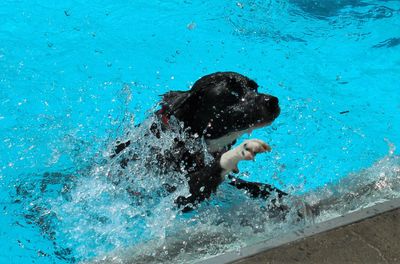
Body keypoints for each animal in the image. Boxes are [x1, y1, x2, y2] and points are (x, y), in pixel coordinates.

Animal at [112, 71, 286, 212]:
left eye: (255, 88)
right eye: (232, 94)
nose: (273, 101)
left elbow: (257, 186)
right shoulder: (177, 195)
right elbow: (216, 167)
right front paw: (243, 149)